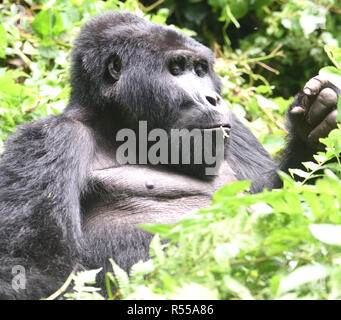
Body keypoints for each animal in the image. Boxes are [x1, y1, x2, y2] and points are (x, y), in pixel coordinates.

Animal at [0, 10, 338, 300]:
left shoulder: (233, 124)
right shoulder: (51, 140)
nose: (213, 98)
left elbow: (277, 197)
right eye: (176, 70)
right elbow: (34, 267)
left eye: (200, 70)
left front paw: (314, 126)